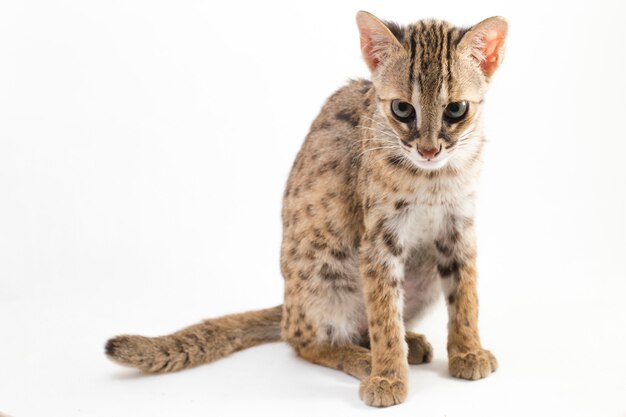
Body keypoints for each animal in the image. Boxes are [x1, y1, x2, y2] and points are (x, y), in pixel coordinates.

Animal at [106, 12, 508, 406]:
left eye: (455, 109)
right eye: (402, 109)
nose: (427, 149)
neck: (434, 179)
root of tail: (287, 306)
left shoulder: (459, 229)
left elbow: (465, 297)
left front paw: (467, 352)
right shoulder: (379, 241)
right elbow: (384, 317)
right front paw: (388, 376)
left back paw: (409, 343)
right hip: (325, 275)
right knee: (304, 340)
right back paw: (363, 358)